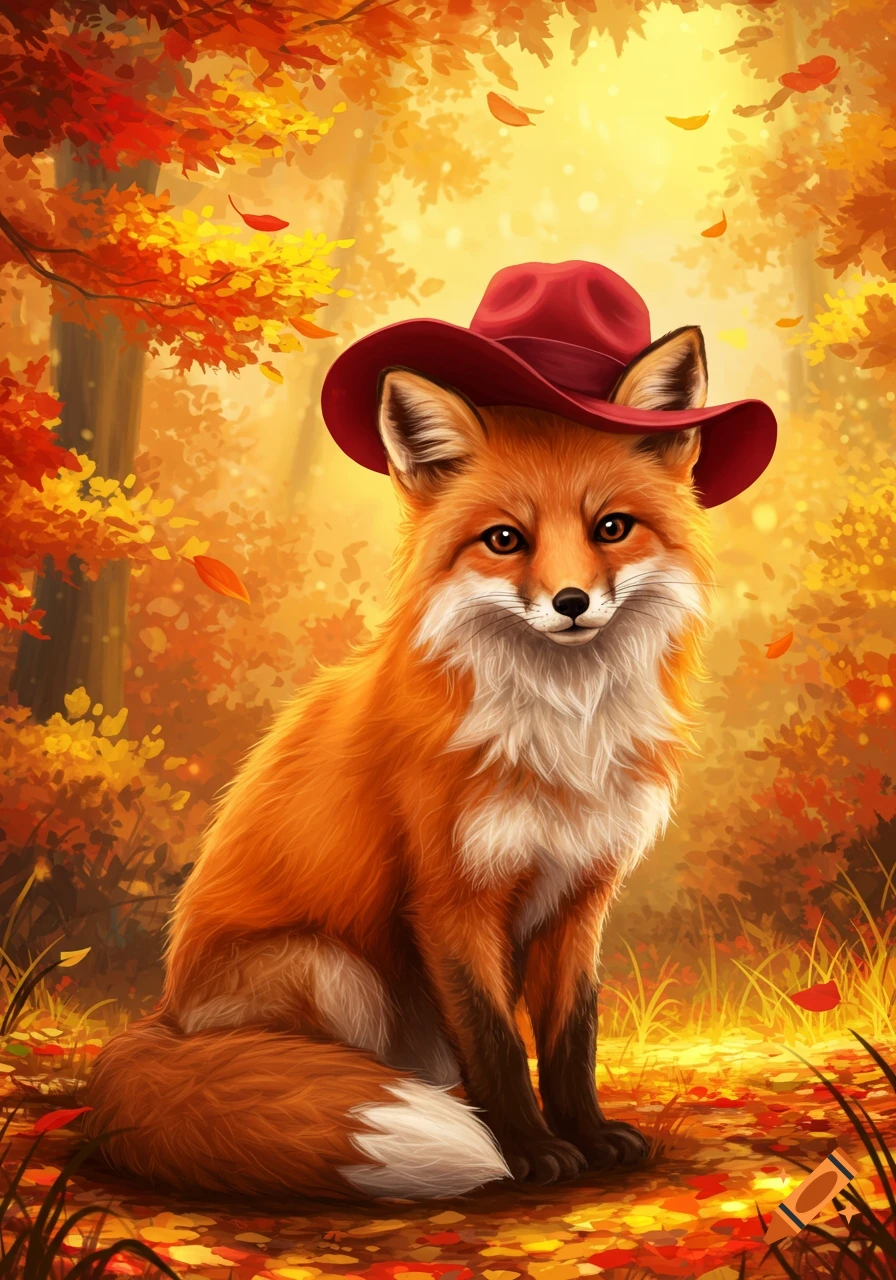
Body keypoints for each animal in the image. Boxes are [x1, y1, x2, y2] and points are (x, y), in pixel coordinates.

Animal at [84, 323, 715, 1202]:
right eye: (505, 539)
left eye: (612, 528)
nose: (571, 603)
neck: (562, 737)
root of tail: (164, 1018)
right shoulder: (450, 898)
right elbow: (495, 1040)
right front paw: (528, 1151)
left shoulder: (579, 897)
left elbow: (569, 1040)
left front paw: (587, 1135)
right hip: (333, 970)